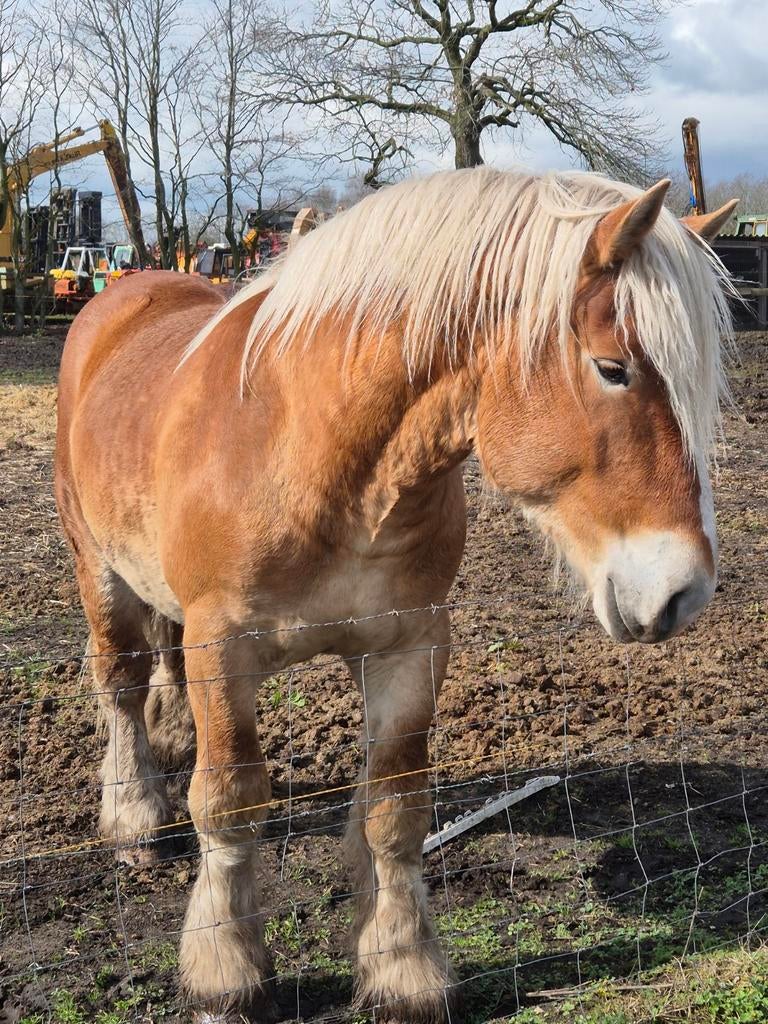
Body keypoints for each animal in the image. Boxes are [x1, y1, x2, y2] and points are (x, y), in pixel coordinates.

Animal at [54, 167, 737, 1023]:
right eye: (613, 368)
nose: (685, 589)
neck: (316, 455)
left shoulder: (411, 644)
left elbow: (395, 810)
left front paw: (402, 966)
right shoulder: (225, 647)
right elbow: (231, 801)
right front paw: (225, 970)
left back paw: (173, 737)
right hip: (97, 566)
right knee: (120, 679)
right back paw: (137, 816)